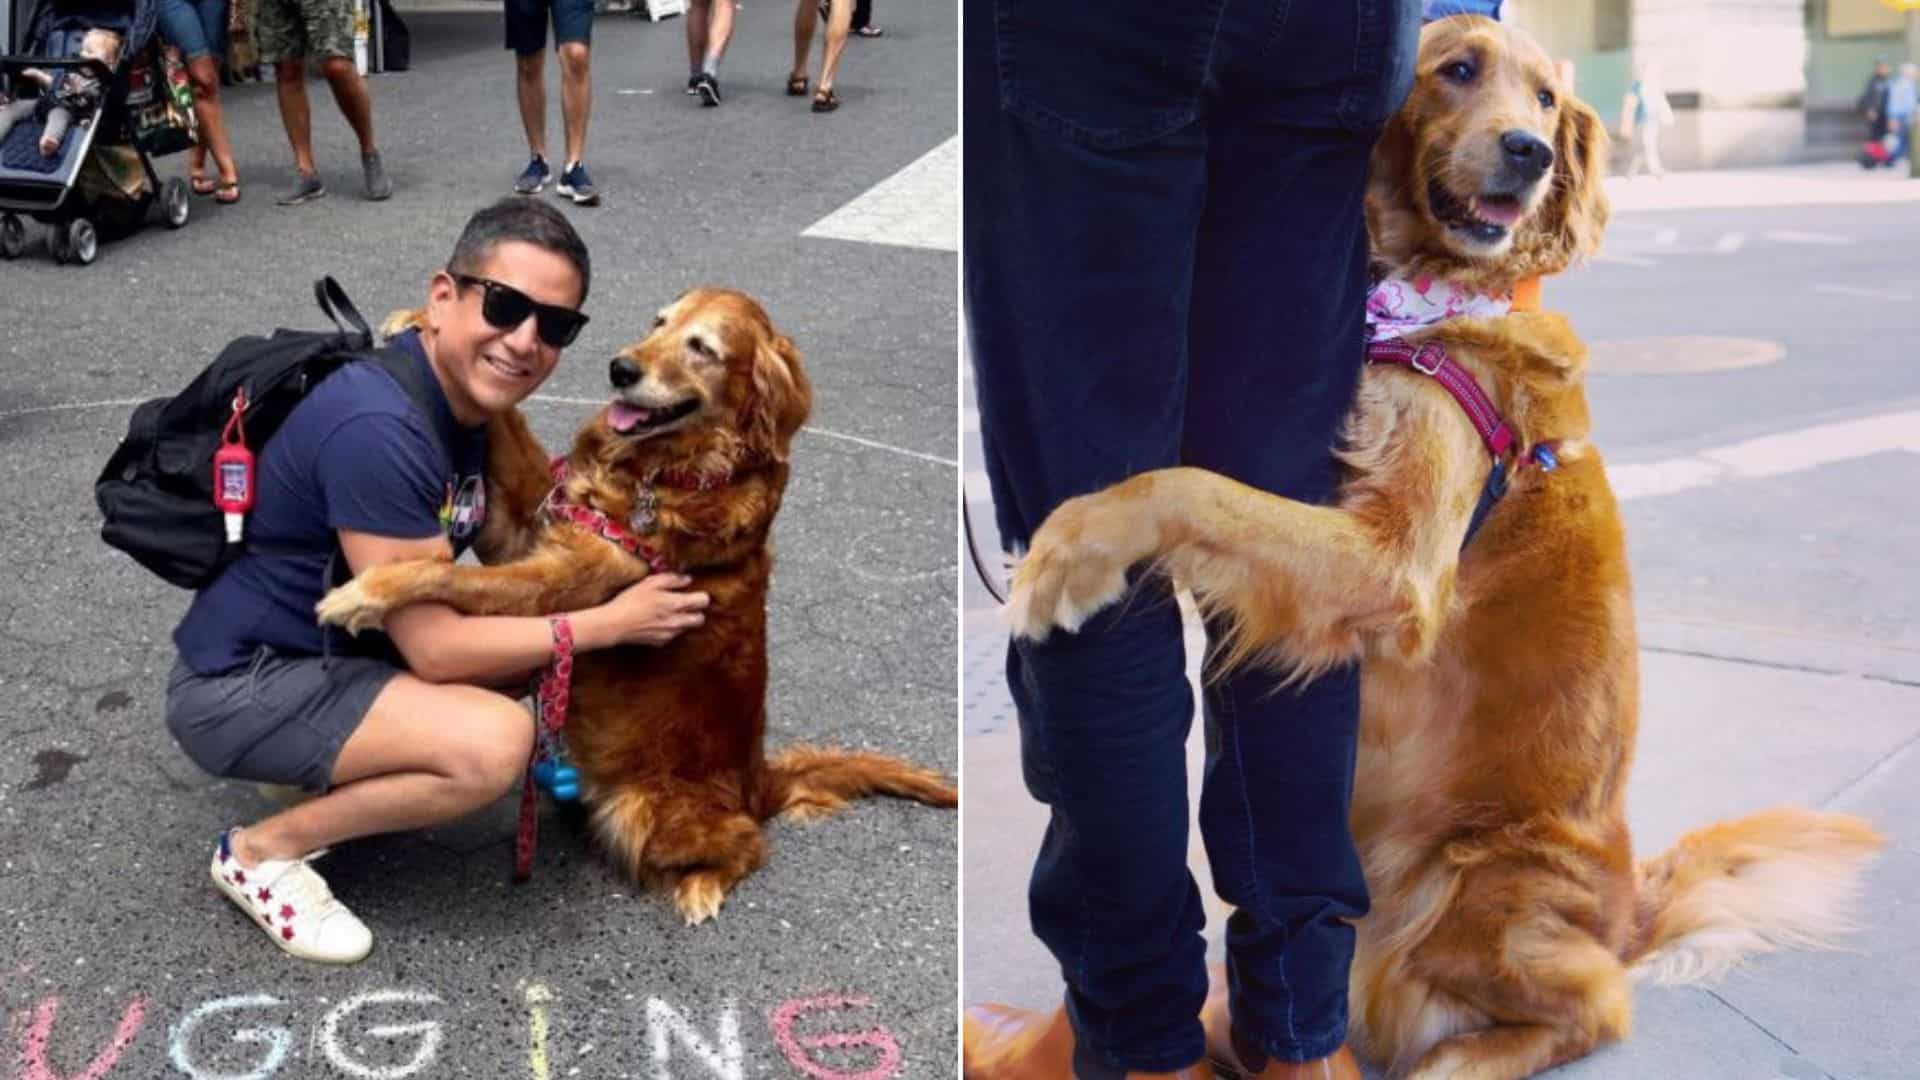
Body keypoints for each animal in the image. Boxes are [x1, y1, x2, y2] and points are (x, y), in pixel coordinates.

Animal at [322, 290, 967, 922]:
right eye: (659, 323)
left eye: (701, 347)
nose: (620, 368)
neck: (662, 473)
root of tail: (759, 783)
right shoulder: (528, 526)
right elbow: (506, 423)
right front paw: (419, 318)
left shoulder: (563, 577)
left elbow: (449, 575)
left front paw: (366, 592)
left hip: (644, 813)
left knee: (748, 844)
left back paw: (702, 889)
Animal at [1013, 16, 1881, 1076]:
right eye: (1458, 70)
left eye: (1547, 98)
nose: (1531, 151)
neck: (1438, 304)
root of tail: (1626, 910)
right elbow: (1214, 494)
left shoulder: (1398, 563)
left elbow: (1195, 486)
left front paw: (1073, 545)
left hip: (1468, 884)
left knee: (1595, 1004)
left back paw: (1453, 1059)